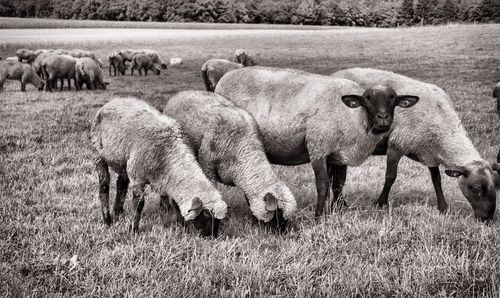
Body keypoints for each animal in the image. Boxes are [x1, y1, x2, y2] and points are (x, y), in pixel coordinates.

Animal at [91, 96, 228, 236]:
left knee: (121, 184)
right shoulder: (138, 176)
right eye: (206, 216)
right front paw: (133, 230)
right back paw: (108, 220)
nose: (211, 237)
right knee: (104, 185)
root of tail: (114, 101)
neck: (170, 151)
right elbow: (139, 204)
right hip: (98, 153)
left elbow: (173, 205)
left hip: (124, 161)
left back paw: (118, 212)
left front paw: (180, 226)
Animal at [217, 67, 420, 217]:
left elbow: (338, 183)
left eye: (393, 98)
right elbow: (322, 184)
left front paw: (338, 209)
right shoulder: (318, 148)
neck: (354, 115)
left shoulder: (339, 155)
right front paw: (319, 215)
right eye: (367, 99)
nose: (383, 118)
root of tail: (224, 79)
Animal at [332, 67, 500, 221]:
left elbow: (436, 180)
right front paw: (381, 203)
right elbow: (390, 177)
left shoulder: (430, 153)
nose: (487, 218)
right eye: (476, 188)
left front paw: (443, 207)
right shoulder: (397, 145)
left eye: (496, 184)